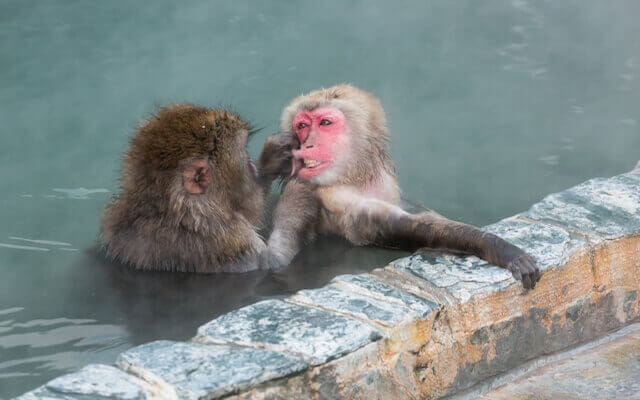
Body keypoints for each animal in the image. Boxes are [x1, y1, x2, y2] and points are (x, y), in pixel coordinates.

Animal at [259, 84, 541, 289]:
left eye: (324, 123)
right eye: (302, 125)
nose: (306, 144)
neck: (353, 177)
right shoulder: (336, 198)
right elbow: (408, 228)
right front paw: (501, 249)